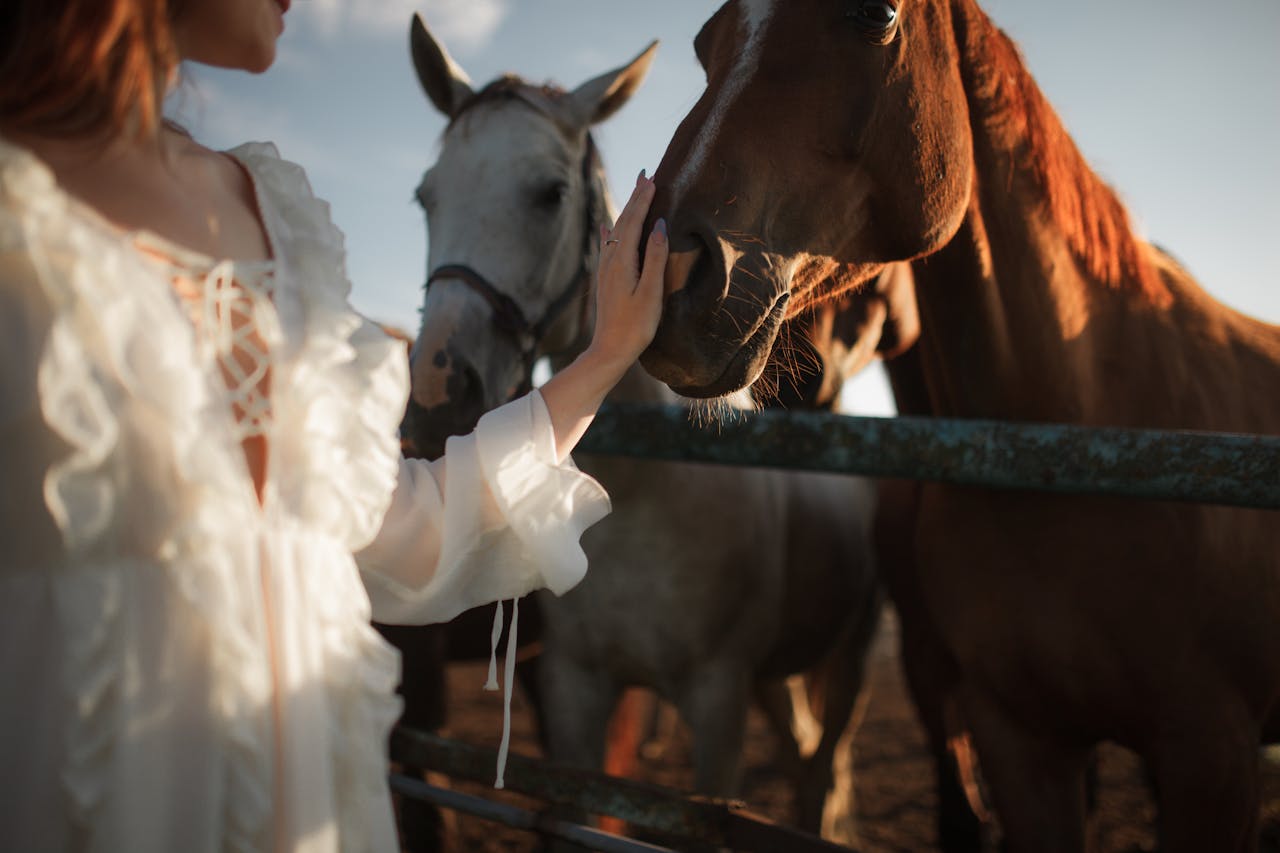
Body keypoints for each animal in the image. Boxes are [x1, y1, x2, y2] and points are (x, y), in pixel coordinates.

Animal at [398, 13, 887, 845]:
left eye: (550, 193)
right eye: (425, 197)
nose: (436, 397)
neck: (647, 494)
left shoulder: (717, 703)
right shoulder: (572, 689)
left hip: (850, 656)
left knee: (825, 764)